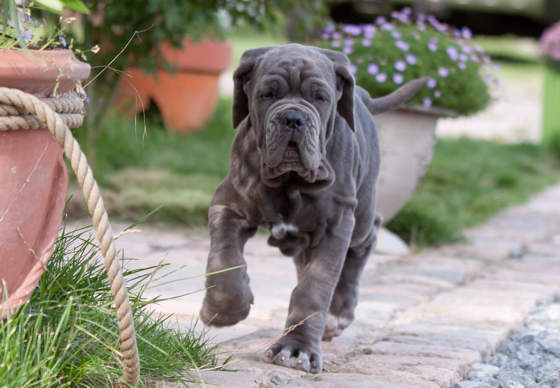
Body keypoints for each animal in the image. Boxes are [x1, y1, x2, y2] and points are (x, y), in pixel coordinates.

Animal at [201, 44, 424, 372]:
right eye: (267, 94)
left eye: (320, 97)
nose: (293, 118)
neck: (291, 180)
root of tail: (362, 96)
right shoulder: (228, 204)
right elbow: (224, 260)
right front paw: (222, 310)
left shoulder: (336, 225)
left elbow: (315, 287)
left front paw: (297, 349)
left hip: (360, 216)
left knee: (368, 235)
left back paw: (339, 313)